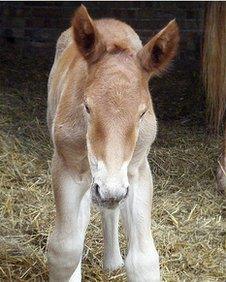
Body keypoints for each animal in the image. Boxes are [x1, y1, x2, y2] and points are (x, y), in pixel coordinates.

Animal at [46, 4, 179, 282]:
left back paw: (112, 261)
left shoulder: (136, 170)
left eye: (142, 113)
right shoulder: (66, 165)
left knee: (107, 208)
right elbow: (64, 250)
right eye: (87, 106)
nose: (110, 190)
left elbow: (144, 261)